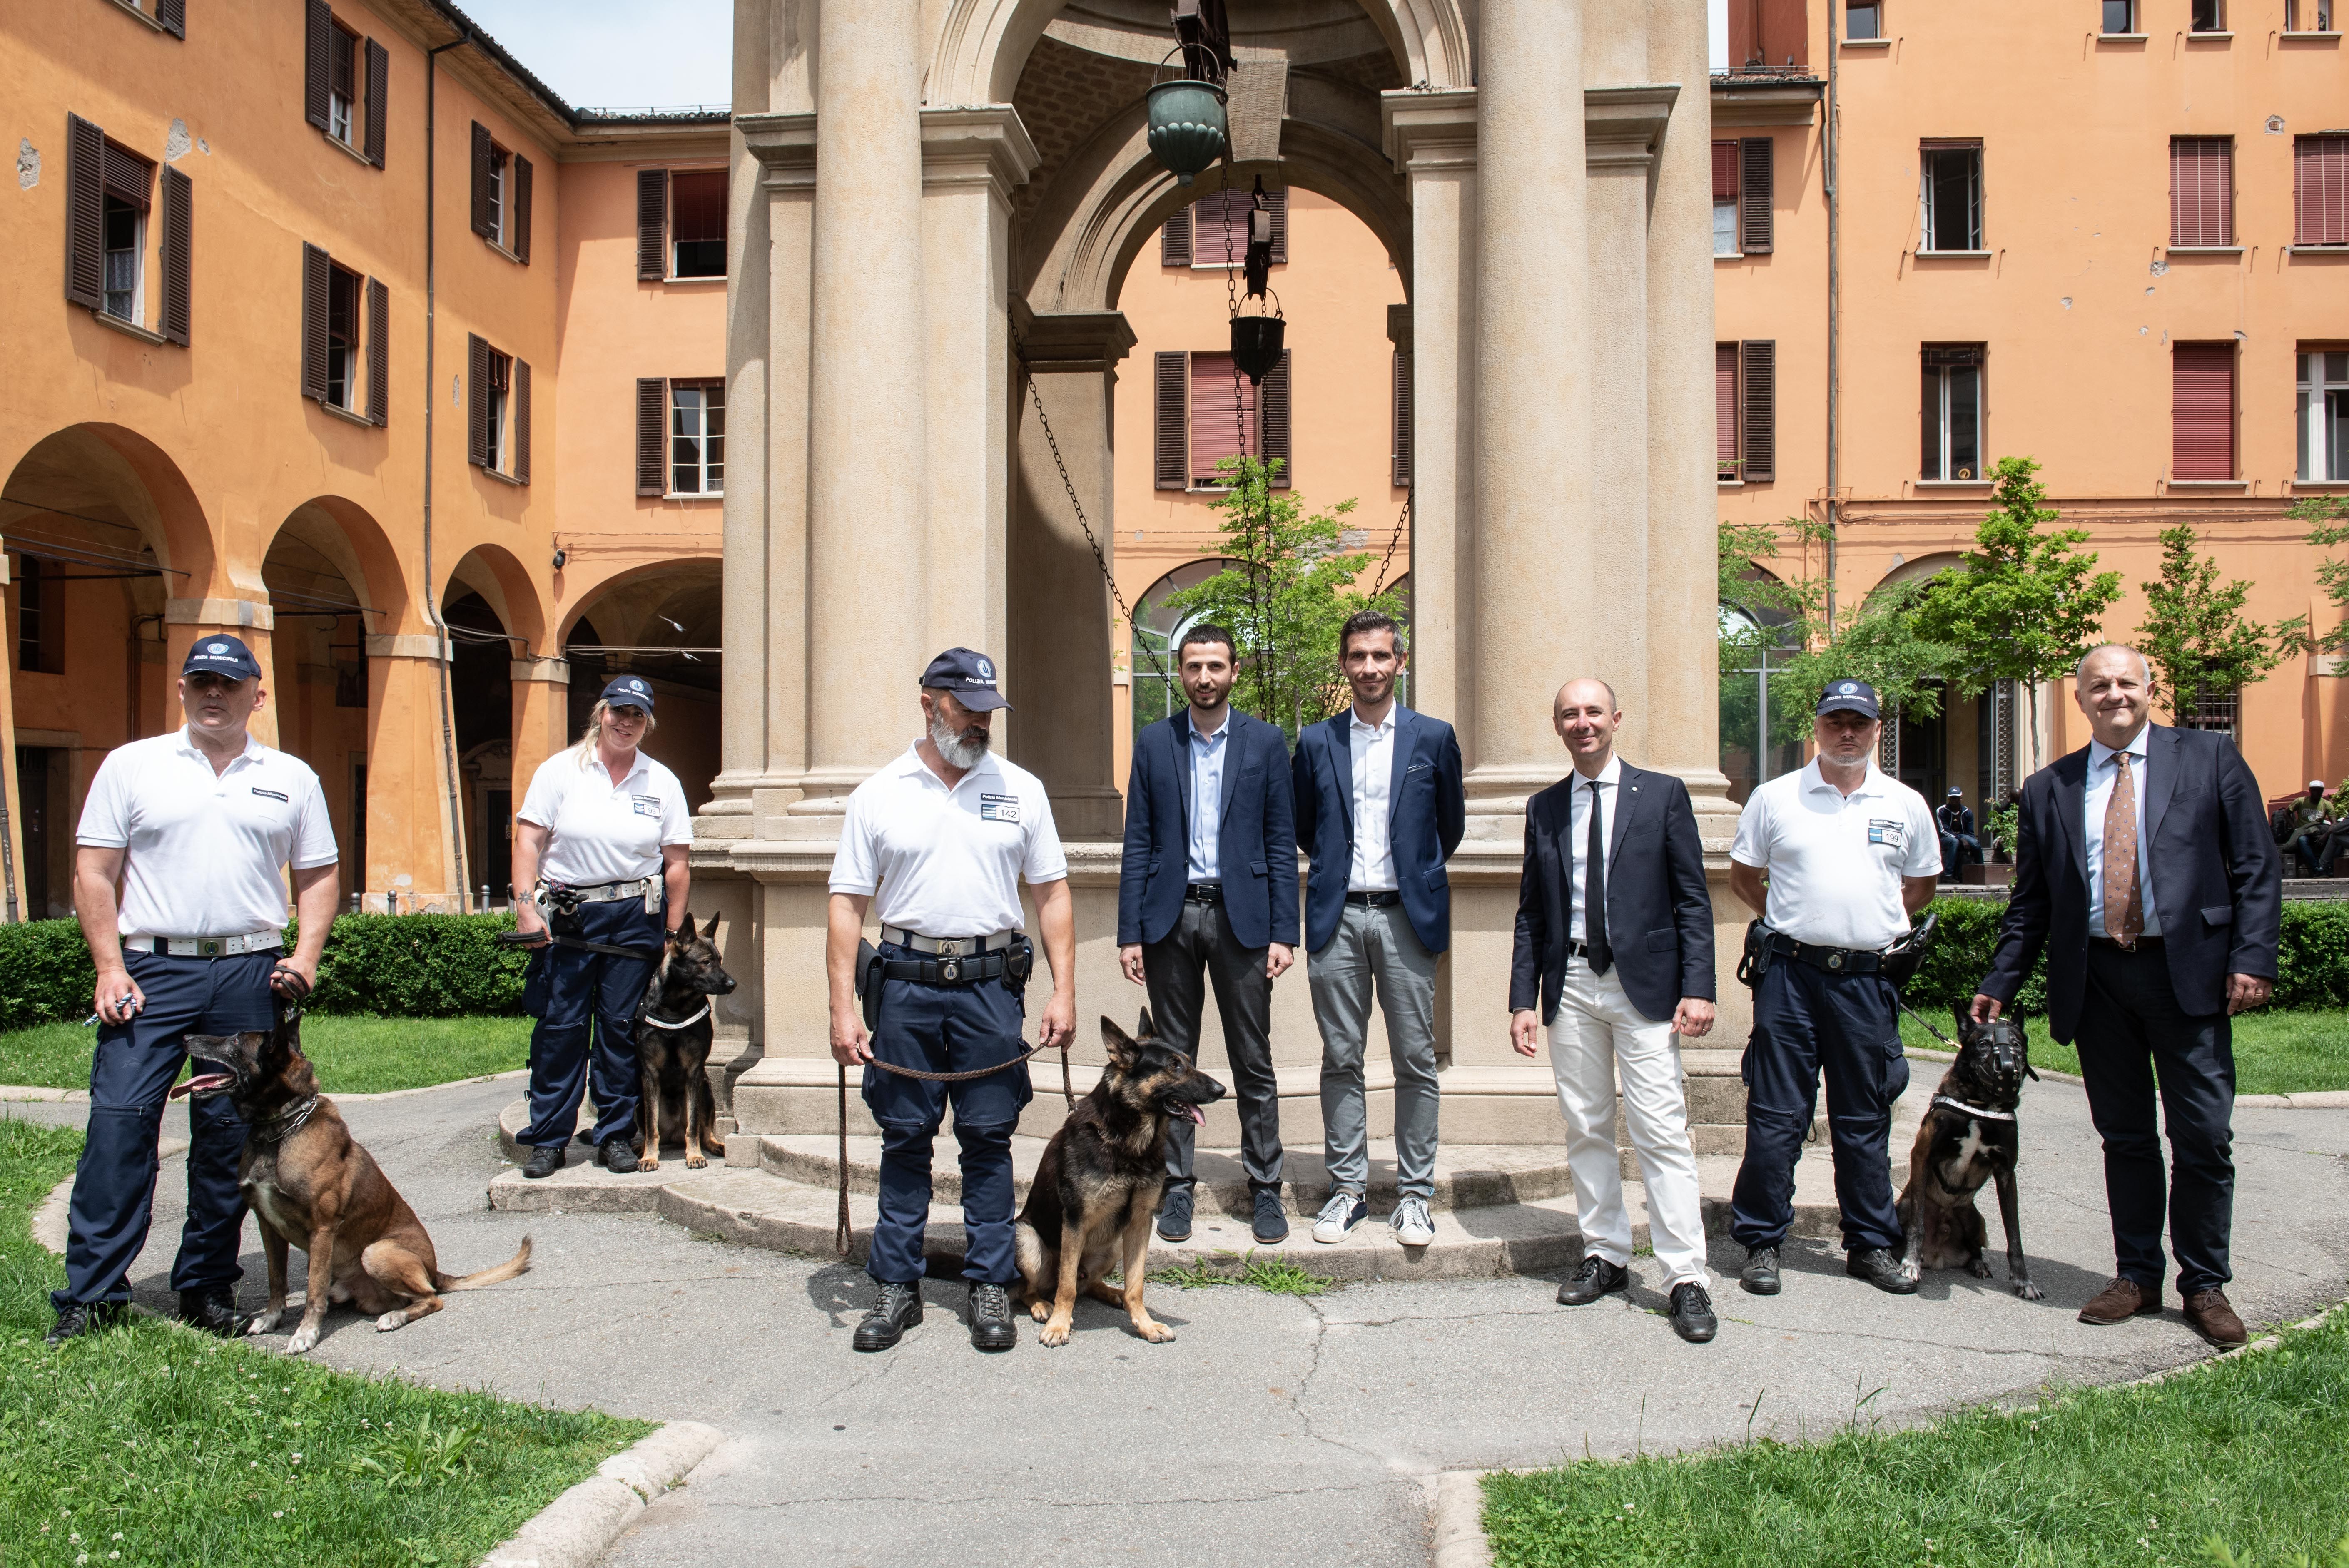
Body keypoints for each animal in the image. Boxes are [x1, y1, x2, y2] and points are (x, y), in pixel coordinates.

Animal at [177, 1009, 538, 1352]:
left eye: (236, 1040)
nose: (187, 1036)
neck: (281, 1130)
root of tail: (435, 1271)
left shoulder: (323, 1228)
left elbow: (312, 1291)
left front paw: (306, 1333)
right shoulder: (268, 1225)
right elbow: (276, 1280)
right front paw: (271, 1318)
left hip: (376, 1252)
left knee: (431, 1299)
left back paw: (395, 1316)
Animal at [629, 911, 737, 1169]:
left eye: (720, 960)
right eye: (706, 962)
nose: (733, 984)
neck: (675, 1008)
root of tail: (674, 1135)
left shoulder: (695, 1071)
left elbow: (694, 1123)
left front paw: (695, 1155)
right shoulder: (649, 1073)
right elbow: (651, 1126)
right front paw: (650, 1156)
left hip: (706, 1090)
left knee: (702, 1130)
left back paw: (714, 1145)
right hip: (640, 1101)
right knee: (651, 1128)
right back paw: (640, 1147)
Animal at [1010, 1018, 1231, 1352]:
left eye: (1188, 1062)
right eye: (1173, 1065)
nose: (1223, 1089)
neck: (1128, 1142)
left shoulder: (1140, 1221)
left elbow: (1135, 1284)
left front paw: (1145, 1323)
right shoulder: (1074, 1221)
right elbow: (1066, 1287)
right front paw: (1059, 1325)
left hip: (1113, 1244)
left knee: (1089, 1283)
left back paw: (1113, 1294)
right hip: (1026, 1238)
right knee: (1033, 1288)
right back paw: (1041, 1306)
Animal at [1888, 1004, 2039, 1296]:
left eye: (2017, 1045)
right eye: (1983, 1044)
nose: (2008, 1068)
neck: (1981, 1106)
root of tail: (1939, 1255)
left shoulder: (2006, 1172)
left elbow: (2014, 1236)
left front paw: (2023, 1280)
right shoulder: (1922, 1156)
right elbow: (1917, 1226)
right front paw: (1910, 1263)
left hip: (1975, 1219)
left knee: (1975, 1250)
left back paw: (1978, 1264)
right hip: (1904, 1207)